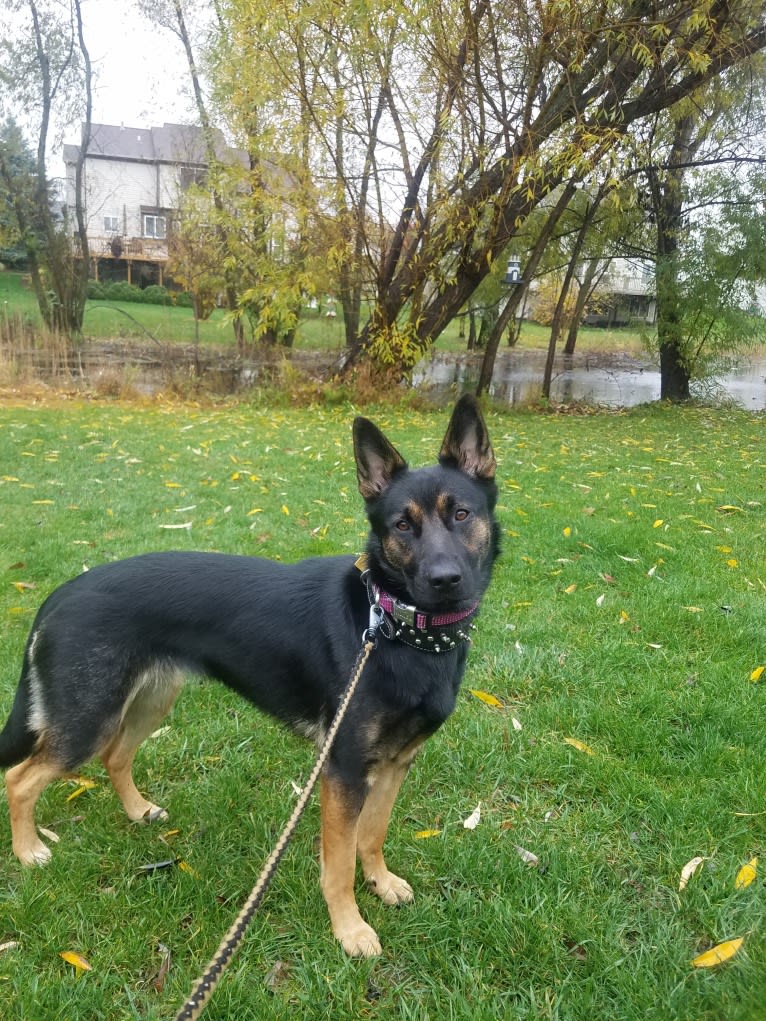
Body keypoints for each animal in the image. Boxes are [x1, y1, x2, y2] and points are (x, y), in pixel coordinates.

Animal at [0, 392, 500, 955]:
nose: (445, 580)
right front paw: (349, 929)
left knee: (115, 756)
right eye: (402, 525)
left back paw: (137, 811)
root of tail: (60, 594)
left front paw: (382, 883)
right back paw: (28, 851)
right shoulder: (344, 771)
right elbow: (339, 862)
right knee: (21, 778)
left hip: (149, 702)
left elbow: (372, 836)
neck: (393, 623)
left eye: (461, 514)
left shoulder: (395, 764)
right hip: (88, 719)